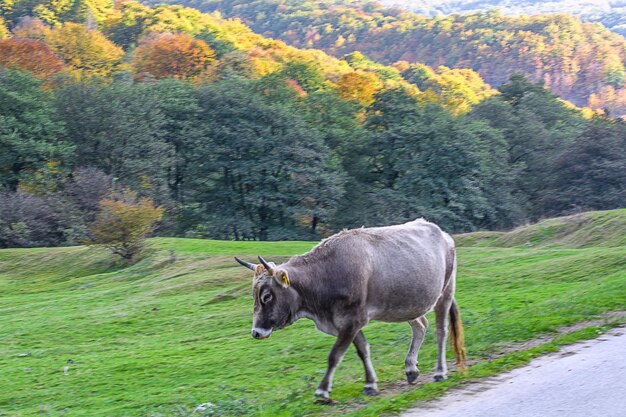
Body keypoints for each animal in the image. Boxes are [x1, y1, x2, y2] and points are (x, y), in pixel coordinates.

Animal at [233, 218, 464, 400]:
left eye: (267, 296)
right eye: (254, 295)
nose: (256, 332)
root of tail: (441, 232)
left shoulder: (352, 320)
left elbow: (335, 355)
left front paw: (322, 390)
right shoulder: (345, 323)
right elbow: (362, 350)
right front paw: (370, 384)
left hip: (445, 292)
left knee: (441, 331)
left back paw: (439, 372)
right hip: (408, 303)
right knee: (420, 326)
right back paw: (411, 368)